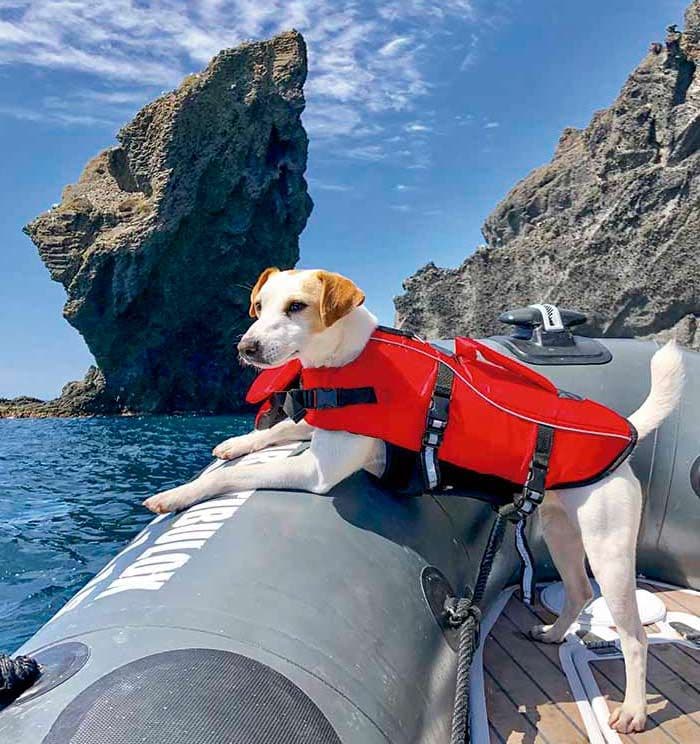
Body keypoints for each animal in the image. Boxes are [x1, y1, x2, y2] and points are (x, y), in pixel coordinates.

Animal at [142, 266, 684, 732]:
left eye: (296, 307)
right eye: (260, 306)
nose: (246, 347)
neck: (348, 358)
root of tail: (629, 433)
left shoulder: (319, 470)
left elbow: (232, 478)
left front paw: (177, 493)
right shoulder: (318, 428)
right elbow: (274, 433)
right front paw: (235, 443)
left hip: (608, 548)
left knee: (633, 636)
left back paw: (633, 710)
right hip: (560, 531)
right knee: (577, 592)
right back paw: (552, 634)